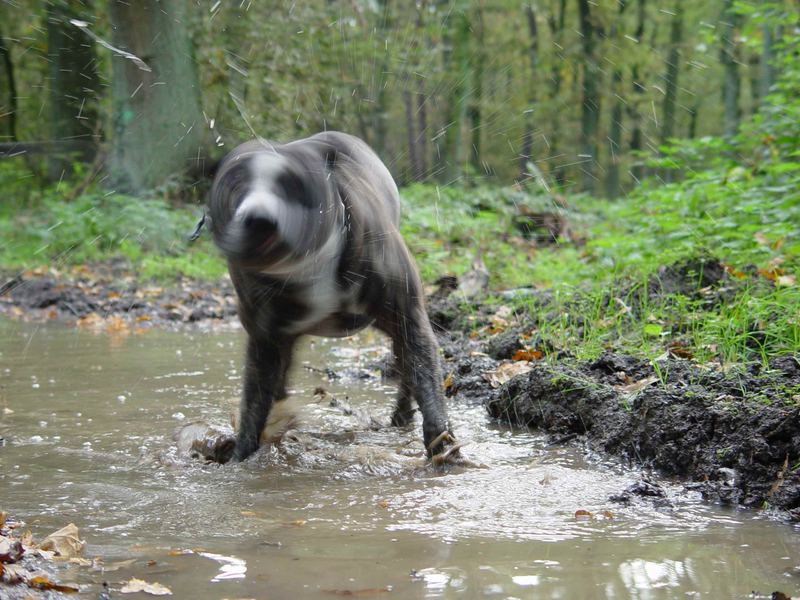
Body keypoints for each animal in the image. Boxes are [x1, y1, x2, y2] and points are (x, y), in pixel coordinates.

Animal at [206, 130, 456, 460]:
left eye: (293, 184)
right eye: (235, 184)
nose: (258, 217)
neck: (308, 267)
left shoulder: (408, 319)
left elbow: (427, 383)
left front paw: (444, 449)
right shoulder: (264, 342)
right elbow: (253, 406)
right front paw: (242, 457)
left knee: (407, 373)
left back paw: (401, 416)